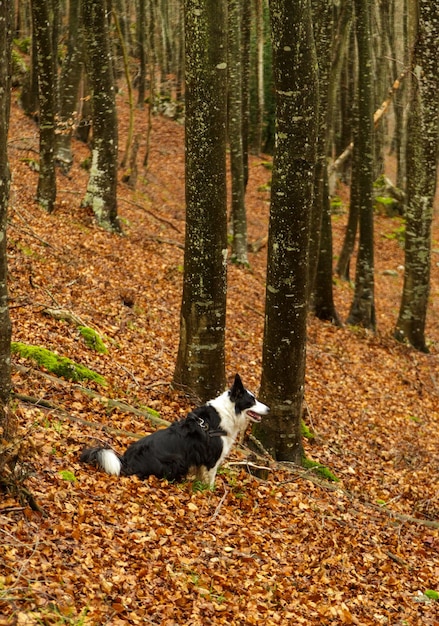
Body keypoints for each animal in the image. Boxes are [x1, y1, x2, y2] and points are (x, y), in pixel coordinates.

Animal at [80, 372, 270, 486]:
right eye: (252, 401)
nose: (268, 409)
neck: (227, 413)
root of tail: (126, 460)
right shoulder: (212, 458)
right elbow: (210, 480)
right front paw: (208, 494)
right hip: (176, 460)